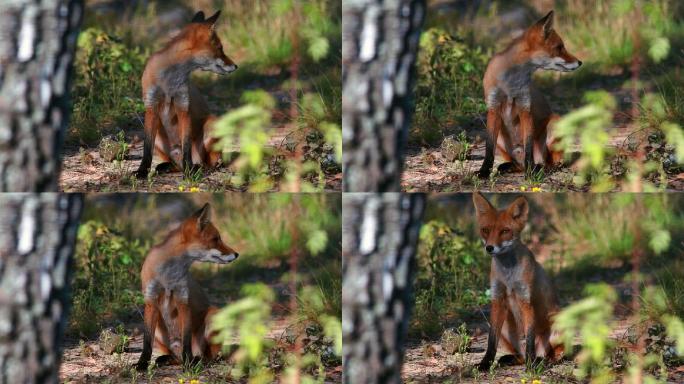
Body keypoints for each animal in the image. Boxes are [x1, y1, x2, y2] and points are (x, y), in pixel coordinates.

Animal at [135, 10, 239, 178]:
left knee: (207, 162)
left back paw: (197, 168)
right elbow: (146, 149)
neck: (168, 82)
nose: (236, 66)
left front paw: (189, 172)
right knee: (176, 163)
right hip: (157, 135)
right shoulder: (151, 106)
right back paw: (168, 166)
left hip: (213, 123)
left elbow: (187, 146)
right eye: (221, 49)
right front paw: (142, 171)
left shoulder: (183, 105)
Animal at [135, 202, 239, 370]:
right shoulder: (151, 301)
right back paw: (170, 359)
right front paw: (142, 364)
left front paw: (189, 364)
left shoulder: (183, 299)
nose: (237, 254)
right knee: (176, 356)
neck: (168, 276)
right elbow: (146, 343)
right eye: (216, 239)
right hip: (156, 327)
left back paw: (196, 361)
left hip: (213, 314)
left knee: (208, 356)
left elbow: (186, 340)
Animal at [472, 194, 564, 370]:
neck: (509, 277)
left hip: (558, 323)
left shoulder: (526, 300)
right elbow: (491, 343)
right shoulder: (498, 299)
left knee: (554, 352)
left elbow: (529, 340)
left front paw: (531, 367)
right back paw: (516, 359)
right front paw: (485, 364)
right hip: (503, 328)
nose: (489, 248)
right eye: (485, 230)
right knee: (520, 354)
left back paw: (544, 361)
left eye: (505, 231)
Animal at [476, 10, 584, 178]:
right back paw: (512, 166)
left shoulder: (525, 107)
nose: (580, 62)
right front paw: (484, 172)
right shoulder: (493, 107)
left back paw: (543, 168)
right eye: (559, 47)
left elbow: (528, 147)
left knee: (549, 161)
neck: (510, 83)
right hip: (498, 134)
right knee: (518, 163)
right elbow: (489, 149)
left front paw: (530, 173)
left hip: (555, 123)